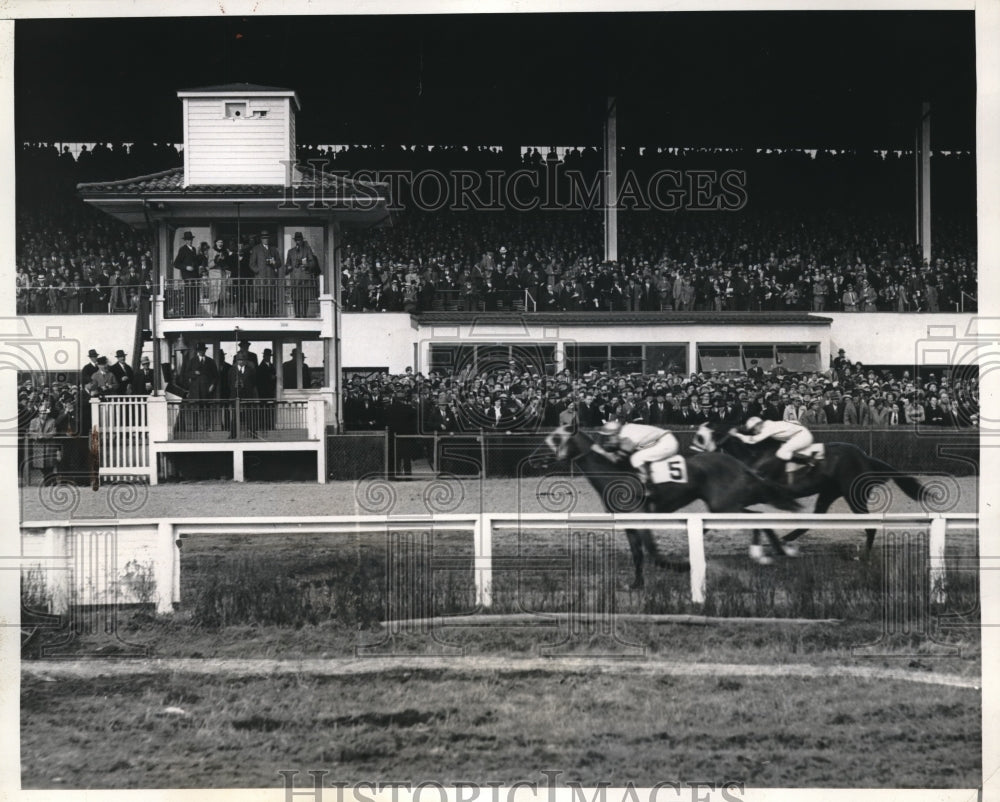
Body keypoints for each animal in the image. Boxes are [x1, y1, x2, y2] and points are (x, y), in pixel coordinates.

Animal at [536, 424, 800, 588]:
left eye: (557, 437)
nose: (540, 456)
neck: (614, 474)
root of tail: (738, 464)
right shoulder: (627, 522)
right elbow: (637, 554)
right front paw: (636, 584)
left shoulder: (641, 516)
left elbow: (653, 553)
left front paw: (682, 566)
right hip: (725, 505)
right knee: (755, 515)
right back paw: (777, 550)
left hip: (725, 505)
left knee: (755, 516)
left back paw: (764, 553)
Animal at [692, 418, 924, 552]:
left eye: (700, 437)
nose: (693, 459)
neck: (755, 454)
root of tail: (865, 457)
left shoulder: (755, 493)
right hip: (829, 491)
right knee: (816, 517)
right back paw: (787, 538)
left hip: (853, 494)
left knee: (870, 525)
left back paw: (864, 557)